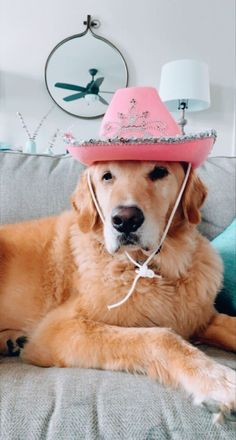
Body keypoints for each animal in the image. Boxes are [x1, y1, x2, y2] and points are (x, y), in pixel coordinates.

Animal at [0, 161, 236, 420]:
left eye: (159, 171)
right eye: (107, 176)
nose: (125, 220)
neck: (153, 268)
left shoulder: (200, 317)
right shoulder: (59, 328)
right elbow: (160, 337)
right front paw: (219, 381)